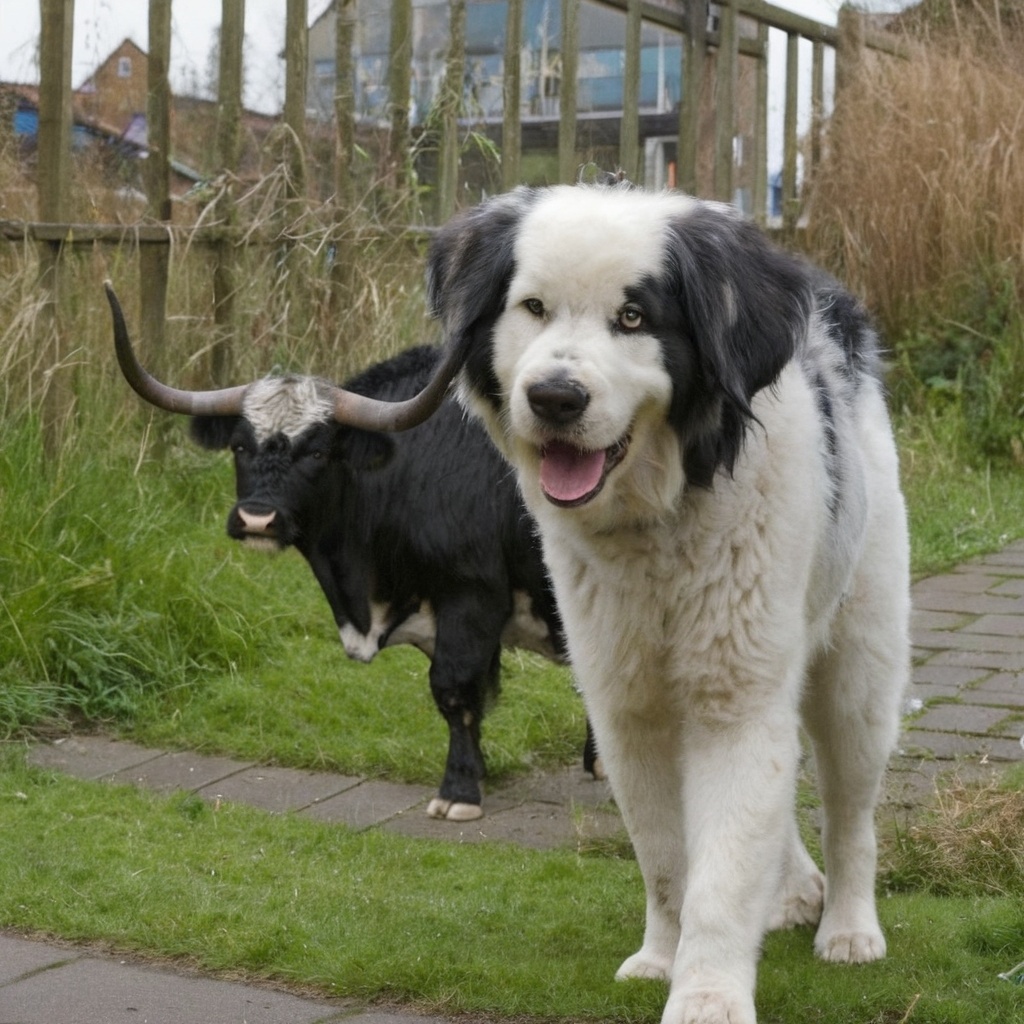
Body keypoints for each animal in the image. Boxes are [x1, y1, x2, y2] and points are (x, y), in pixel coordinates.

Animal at [105, 285, 597, 822]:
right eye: (239, 446)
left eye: (317, 452)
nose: (257, 519)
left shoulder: (471, 596)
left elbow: (453, 689)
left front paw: (459, 792)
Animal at [424, 183, 910, 1024]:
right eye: (533, 307)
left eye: (633, 317)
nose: (555, 397)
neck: (662, 521)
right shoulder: (627, 705)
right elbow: (666, 856)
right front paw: (661, 958)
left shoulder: (735, 696)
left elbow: (723, 865)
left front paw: (708, 995)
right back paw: (793, 895)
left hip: (858, 668)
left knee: (851, 810)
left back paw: (849, 927)